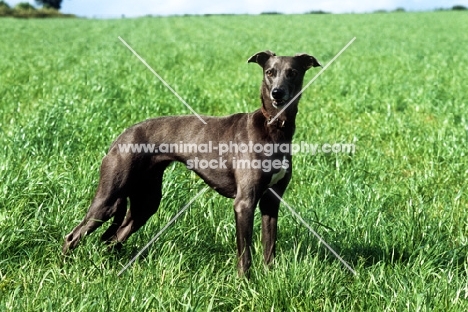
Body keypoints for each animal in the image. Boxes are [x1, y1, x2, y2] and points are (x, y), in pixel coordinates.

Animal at [63, 50, 322, 276]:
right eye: (270, 72)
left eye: (292, 72)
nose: (277, 93)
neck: (274, 127)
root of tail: (120, 138)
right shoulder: (244, 202)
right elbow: (244, 254)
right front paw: (245, 283)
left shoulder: (271, 202)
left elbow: (270, 248)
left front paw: (269, 278)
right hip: (108, 198)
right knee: (73, 236)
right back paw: (64, 268)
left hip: (146, 203)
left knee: (113, 239)